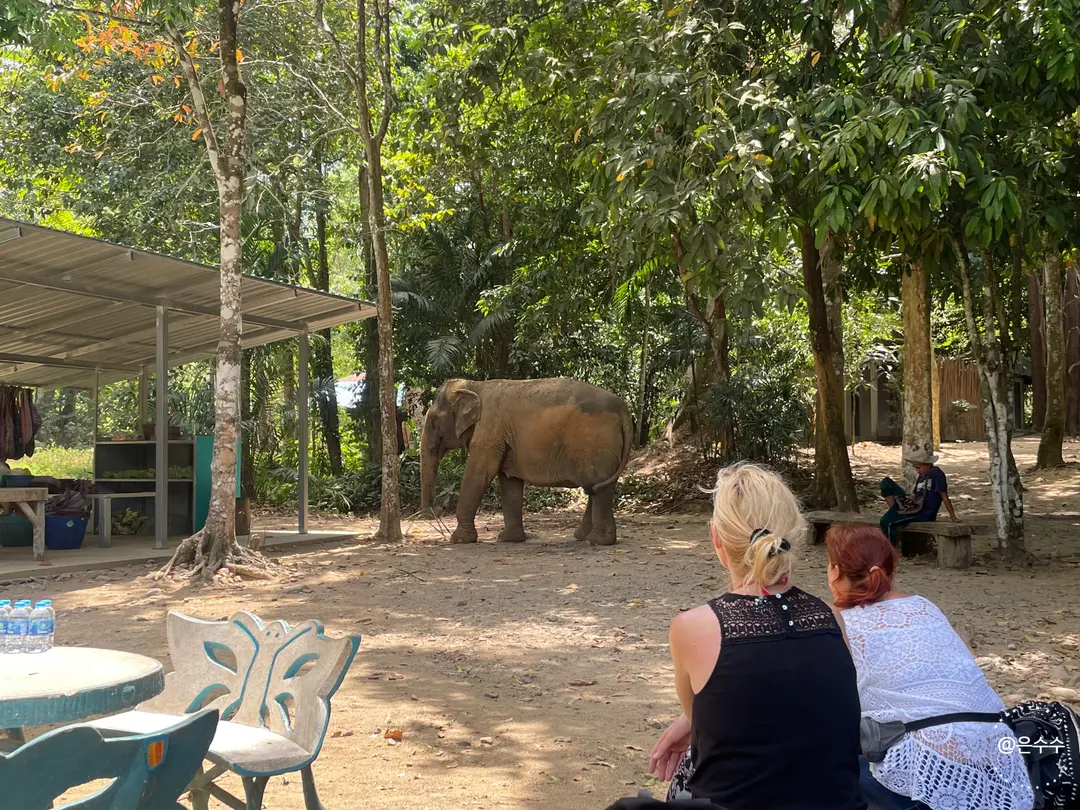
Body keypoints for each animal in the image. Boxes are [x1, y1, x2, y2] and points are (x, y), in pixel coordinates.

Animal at [419, 377, 633, 545]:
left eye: (433, 421)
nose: (434, 511)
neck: (475, 385)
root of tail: (623, 408)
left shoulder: (489, 431)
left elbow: (480, 473)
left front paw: (458, 540)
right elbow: (509, 481)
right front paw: (508, 539)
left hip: (597, 443)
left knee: (598, 486)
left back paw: (596, 541)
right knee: (597, 486)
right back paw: (584, 537)